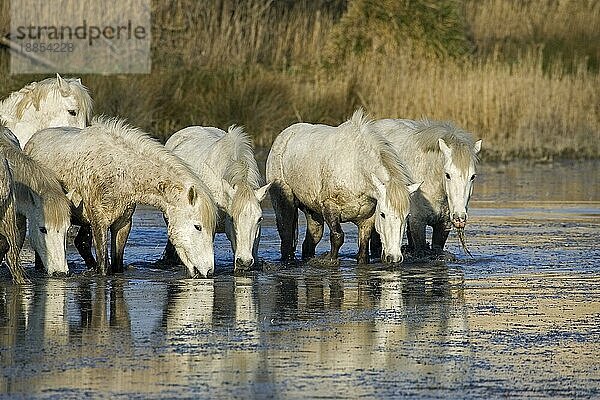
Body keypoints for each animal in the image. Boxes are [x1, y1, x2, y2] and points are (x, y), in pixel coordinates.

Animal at [26, 117, 218, 276]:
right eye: (198, 227)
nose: (208, 271)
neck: (121, 173)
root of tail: (31, 141)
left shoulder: (122, 224)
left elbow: (117, 266)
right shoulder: (99, 224)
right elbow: (104, 268)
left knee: (82, 243)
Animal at [264, 110, 420, 266]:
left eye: (406, 216)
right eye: (383, 214)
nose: (394, 258)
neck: (356, 169)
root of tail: (283, 136)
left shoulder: (367, 219)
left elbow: (364, 246)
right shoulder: (330, 207)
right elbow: (337, 237)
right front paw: (331, 260)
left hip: (312, 213)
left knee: (310, 241)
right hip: (284, 203)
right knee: (286, 236)